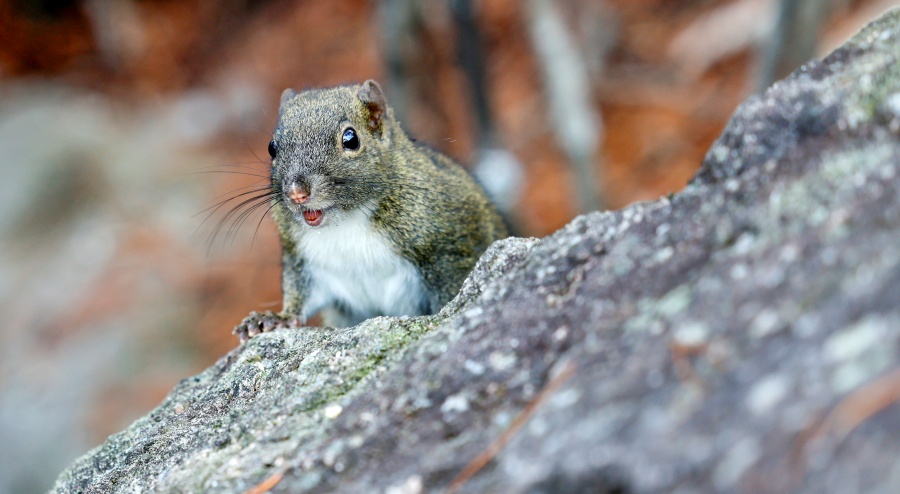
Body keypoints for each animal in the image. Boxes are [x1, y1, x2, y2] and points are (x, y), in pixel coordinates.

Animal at [233, 80, 508, 342]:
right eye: (272, 147)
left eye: (351, 139)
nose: (296, 193)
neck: (345, 222)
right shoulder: (302, 258)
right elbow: (299, 295)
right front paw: (275, 319)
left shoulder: (453, 244)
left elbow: (453, 289)